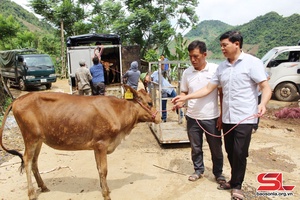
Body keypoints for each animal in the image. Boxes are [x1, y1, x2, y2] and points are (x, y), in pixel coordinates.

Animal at [0, 85, 162, 199]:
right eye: (149, 102)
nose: (160, 117)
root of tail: (18, 99)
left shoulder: (96, 146)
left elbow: (99, 168)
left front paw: (104, 189)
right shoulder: (102, 143)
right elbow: (104, 170)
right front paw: (106, 194)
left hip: (38, 139)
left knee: (34, 161)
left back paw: (43, 186)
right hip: (30, 137)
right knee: (27, 160)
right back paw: (32, 193)